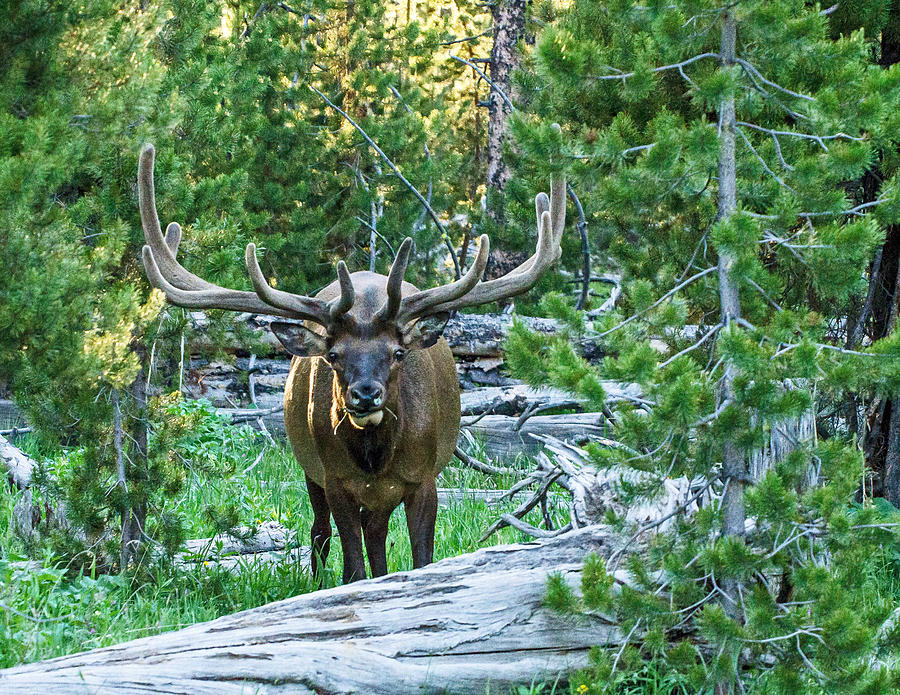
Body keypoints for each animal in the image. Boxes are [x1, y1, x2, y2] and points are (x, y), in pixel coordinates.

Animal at [138, 144, 568, 584]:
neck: (375, 461)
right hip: (312, 470)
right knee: (321, 534)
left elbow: (421, 559)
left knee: (374, 536)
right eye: (333, 355)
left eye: (398, 353)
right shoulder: (336, 478)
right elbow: (353, 566)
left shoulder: (423, 478)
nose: (364, 395)